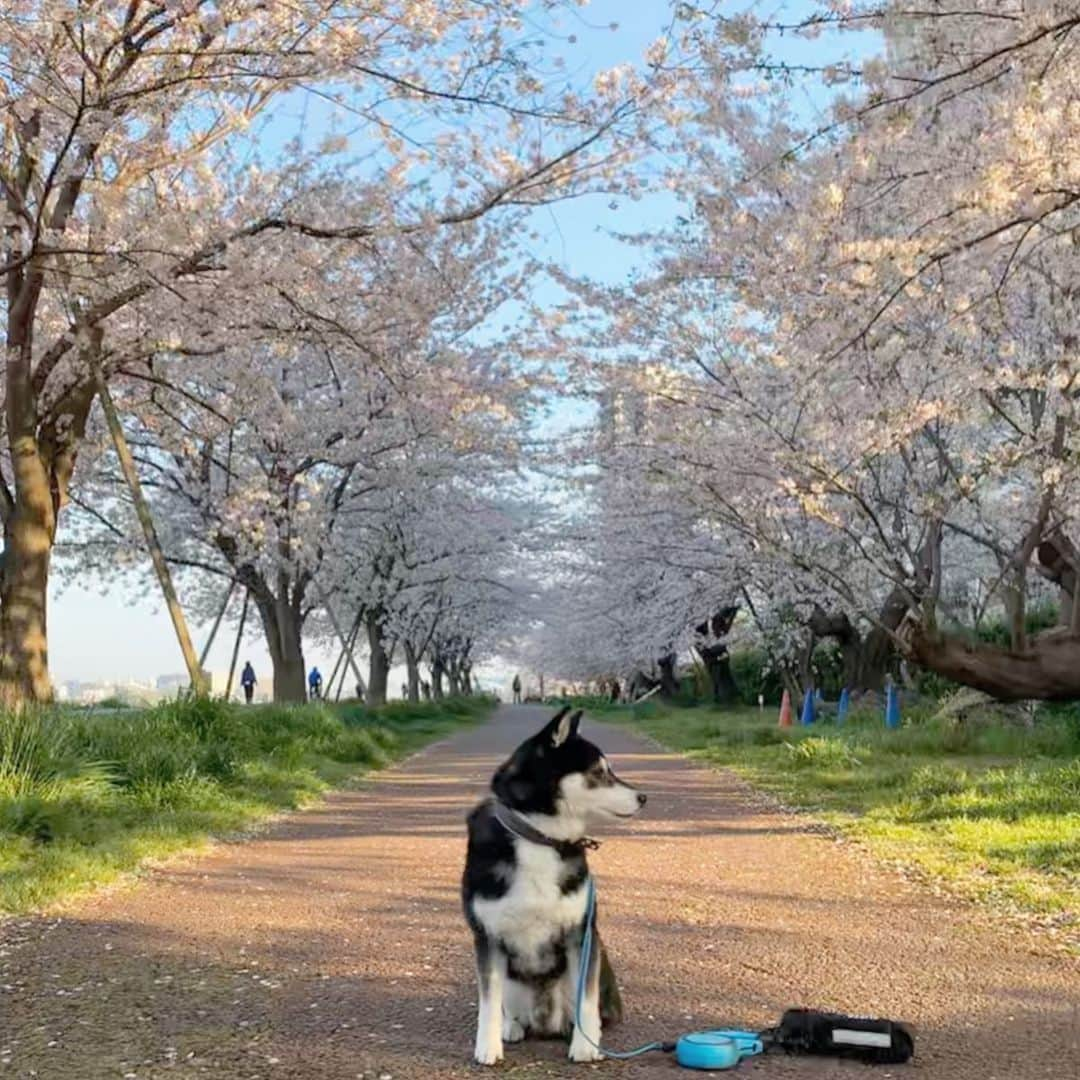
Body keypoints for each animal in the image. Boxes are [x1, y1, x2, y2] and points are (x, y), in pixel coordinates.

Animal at [460, 708, 643, 1062]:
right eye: (599, 772)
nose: (643, 797)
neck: (539, 837)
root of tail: (545, 1022)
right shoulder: (488, 938)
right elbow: (488, 1002)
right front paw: (487, 1047)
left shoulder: (581, 934)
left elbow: (586, 1001)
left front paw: (585, 1047)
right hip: (513, 979)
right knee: (508, 1008)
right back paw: (511, 1027)